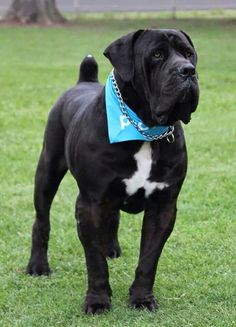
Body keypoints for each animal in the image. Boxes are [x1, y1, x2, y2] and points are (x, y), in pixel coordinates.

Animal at [27, 28, 199, 316]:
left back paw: (111, 248)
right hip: (47, 171)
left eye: (188, 54)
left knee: (113, 217)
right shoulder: (90, 203)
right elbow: (94, 261)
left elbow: (149, 258)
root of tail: (84, 81)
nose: (188, 70)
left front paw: (142, 298)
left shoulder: (163, 206)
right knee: (42, 220)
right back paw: (38, 266)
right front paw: (97, 300)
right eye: (157, 55)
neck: (144, 131)